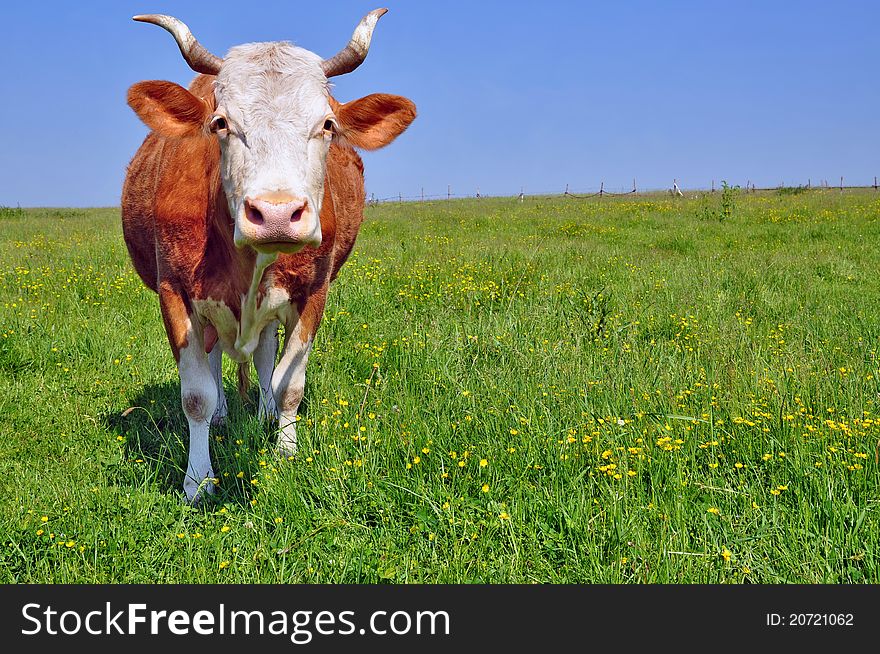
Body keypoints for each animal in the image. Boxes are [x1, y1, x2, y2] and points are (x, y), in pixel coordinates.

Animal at [121, 9, 420, 502]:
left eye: (327, 124)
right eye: (220, 123)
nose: (277, 213)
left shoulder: (313, 292)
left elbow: (288, 384)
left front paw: (285, 451)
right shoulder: (173, 292)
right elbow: (196, 394)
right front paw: (198, 480)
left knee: (263, 355)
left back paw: (262, 413)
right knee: (217, 357)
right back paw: (225, 414)